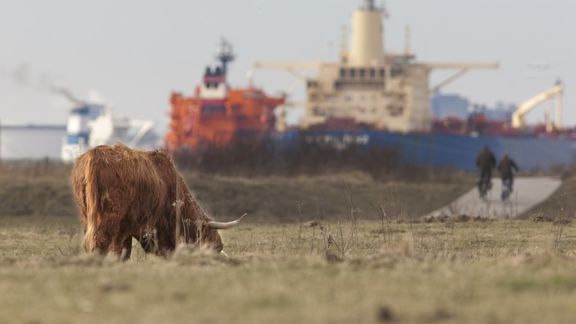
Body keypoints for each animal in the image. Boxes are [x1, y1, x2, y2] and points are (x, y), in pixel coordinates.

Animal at [71, 144, 243, 258]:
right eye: (208, 238)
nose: (219, 246)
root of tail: (94, 155)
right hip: (109, 216)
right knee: (100, 241)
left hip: (86, 214)